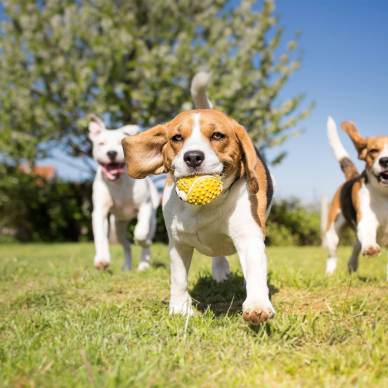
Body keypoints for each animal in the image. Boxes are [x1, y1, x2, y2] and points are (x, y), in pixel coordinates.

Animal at [89, 116, 159, 270]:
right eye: (101, 143)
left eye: (119, 143)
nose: (111, 153)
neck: (118, 181)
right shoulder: (100, 212)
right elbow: (100, 236)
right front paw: (102, 260)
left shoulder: (144, 206)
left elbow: (140, 232)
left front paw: (141, 239)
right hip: (118, 227)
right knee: (126, 246)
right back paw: (126, 266)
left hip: (152, 221)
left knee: (146, 240)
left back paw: (143, 264)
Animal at [123, 73, 274, 324]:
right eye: (176, 138)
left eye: (217, 136)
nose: (193, 157)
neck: (204, 207)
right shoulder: (178, 243)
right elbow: (178, 278)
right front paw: (180, 309)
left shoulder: (249, 237)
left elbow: (254, 272)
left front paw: (257, 305)